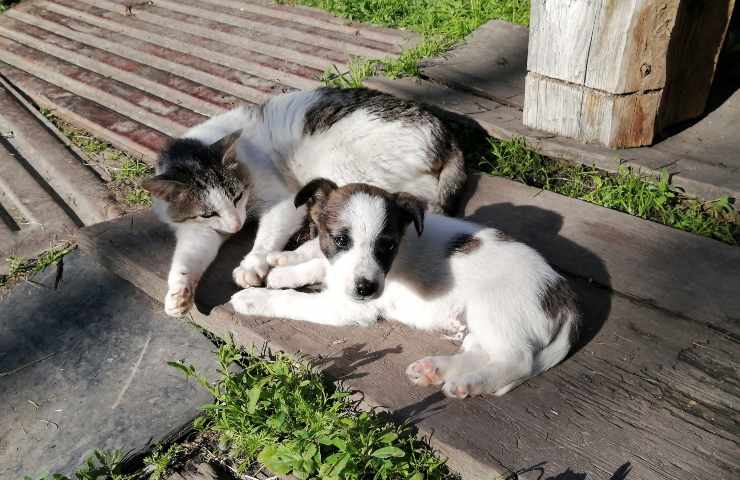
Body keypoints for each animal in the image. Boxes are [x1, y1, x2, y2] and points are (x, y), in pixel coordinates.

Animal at [143, 87, 468, 316]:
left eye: (237, 195)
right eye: (208, 214)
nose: (235, 227)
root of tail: (448, 137)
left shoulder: (284, 202)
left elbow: (266, 237)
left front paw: (252, 264)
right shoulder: (198, 230)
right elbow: (187, 257)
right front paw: (179, 293)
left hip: (342, 165)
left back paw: (289, 256)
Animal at [228, 180, 580, 398]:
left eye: (388, 245)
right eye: (341, 240)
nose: (366, 288)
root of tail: (565, 297)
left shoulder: (349, 307)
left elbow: (294, 301)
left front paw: (255, 297)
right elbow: (319, 265)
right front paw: (284, 271)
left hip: (493, 308)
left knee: (517, 361)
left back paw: (469, 383)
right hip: (478, 322)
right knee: (482, 352)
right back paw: (435, 370)